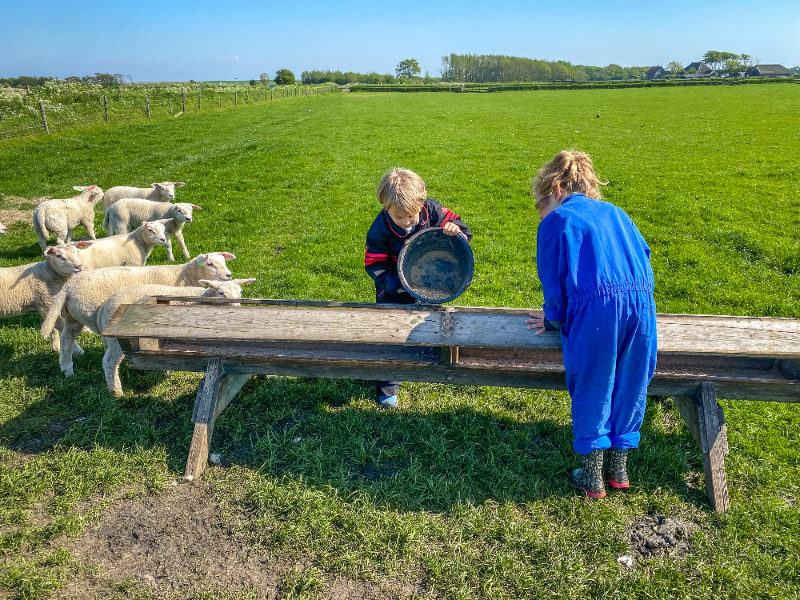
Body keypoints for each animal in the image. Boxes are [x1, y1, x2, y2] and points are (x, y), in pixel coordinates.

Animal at [41, 253, 234, 380]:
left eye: (224, 261)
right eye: (210, 264)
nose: (228, 275)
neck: (184, 275)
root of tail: (67, 288)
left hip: (73, 318)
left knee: (66, 338)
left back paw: (68, 370)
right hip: (90, 314)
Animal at [95, 278, 256, 396]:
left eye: (240, 293)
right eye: (221, 293)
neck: (203, 299)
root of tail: (104, 306)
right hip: (117, 340)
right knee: (108, 362)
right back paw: (116, 391)